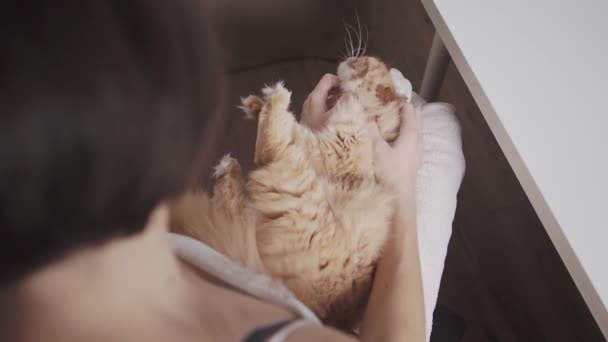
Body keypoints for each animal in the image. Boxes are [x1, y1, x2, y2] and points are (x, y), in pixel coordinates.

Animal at [170, 56, 408, 328]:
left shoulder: (332, 149)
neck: (378, 121)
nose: (349, 58)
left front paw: (265, 102)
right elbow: (294, 128)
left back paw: (274, 101)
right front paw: (255, 104)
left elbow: (296, 133)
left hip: (296, 181)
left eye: (362, 63)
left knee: (266, 156)